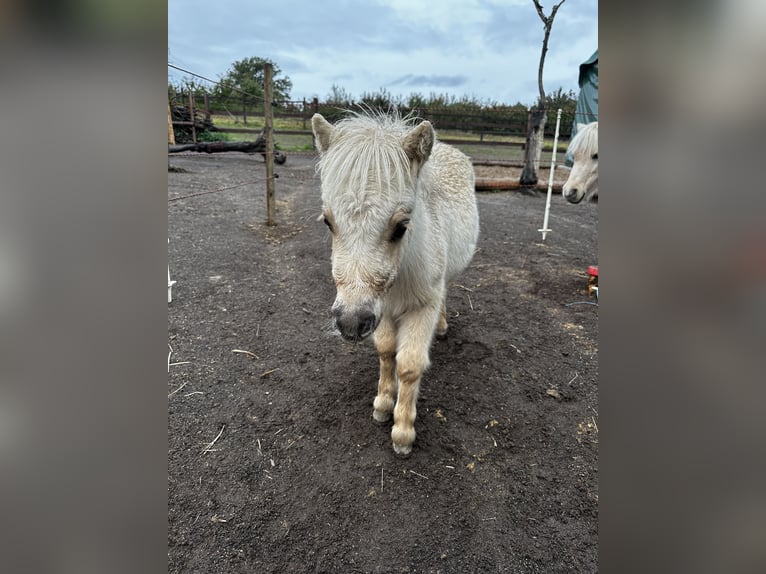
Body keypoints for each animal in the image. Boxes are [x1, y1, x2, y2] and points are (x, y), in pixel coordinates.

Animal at [312, 110, 480, 456]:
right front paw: (383, 403)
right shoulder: (382, 308)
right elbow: (387, 351)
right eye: (328, 222)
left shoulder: (423, 306)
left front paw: (403, 431)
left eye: (401, 226)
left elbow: (409, 365)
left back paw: (443, 326)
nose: (350, 323)